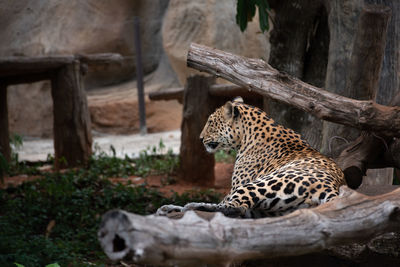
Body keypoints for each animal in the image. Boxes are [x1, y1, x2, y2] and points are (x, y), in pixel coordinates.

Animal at [158, 97, 346, 219]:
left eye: (211, 123)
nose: (200, 138)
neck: (246, 136)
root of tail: (330, 187)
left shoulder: (237, 185)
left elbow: (227, 201)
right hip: (277, 209)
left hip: (263, 183)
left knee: (235, 208)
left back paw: (189, 207)